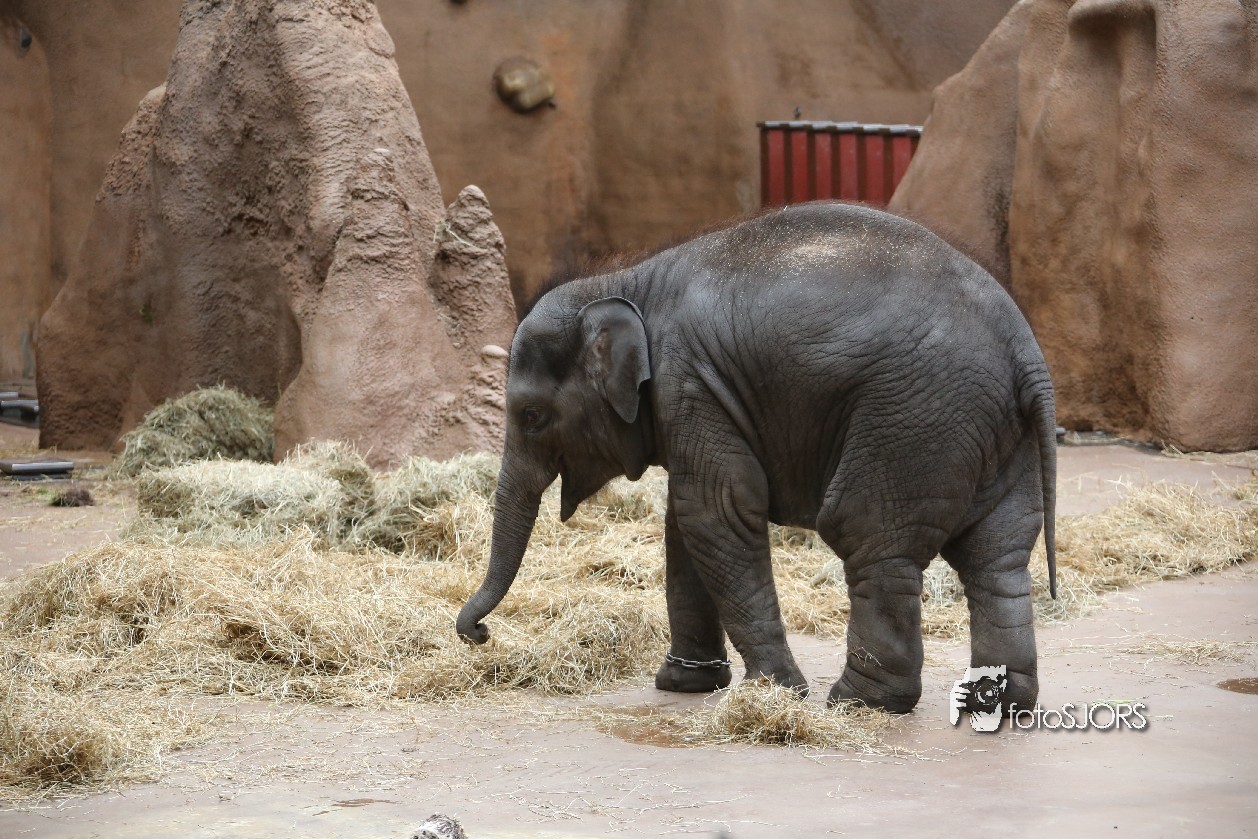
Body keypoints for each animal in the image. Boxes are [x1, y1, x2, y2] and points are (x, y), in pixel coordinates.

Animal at [457, 201, 1057, 714]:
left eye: (532, 416)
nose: (479, 634)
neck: (627, 282)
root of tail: (1025, 351)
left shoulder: (689, 381)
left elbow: (714, 513)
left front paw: (774, 691)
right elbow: (685, 524)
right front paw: (685, 684)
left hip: (913, 419)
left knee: (867, 536)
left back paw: (859, 703)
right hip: (991, 434)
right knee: (997, 554)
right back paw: (996, 703)